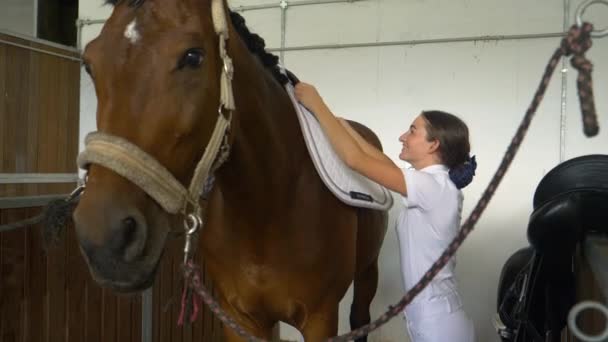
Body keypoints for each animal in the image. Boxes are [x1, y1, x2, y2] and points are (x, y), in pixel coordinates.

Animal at [73, 1, 388, 340]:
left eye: (193, 56)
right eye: (89, 63)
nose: (104, 239)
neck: (268, 209)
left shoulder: (320, 319)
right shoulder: (239, 317)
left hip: (368, 272)